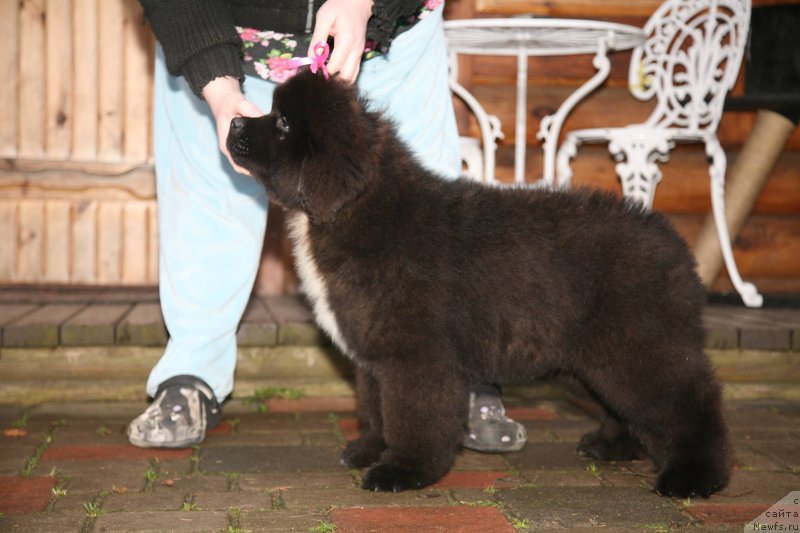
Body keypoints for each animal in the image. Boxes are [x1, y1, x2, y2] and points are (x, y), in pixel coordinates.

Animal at [227, 69, 732, 494]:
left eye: (283, 124)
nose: (232, 122)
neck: (355, 209)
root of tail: (671, 243)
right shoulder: (374, 351)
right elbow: (375, 408)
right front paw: (370, 449)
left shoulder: (417, 354)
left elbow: (412, 415)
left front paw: (402, 470)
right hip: (597, 355)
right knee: (627, 406)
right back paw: (613, 446)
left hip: (636, 344)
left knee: (691, 400)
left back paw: (694, 476)